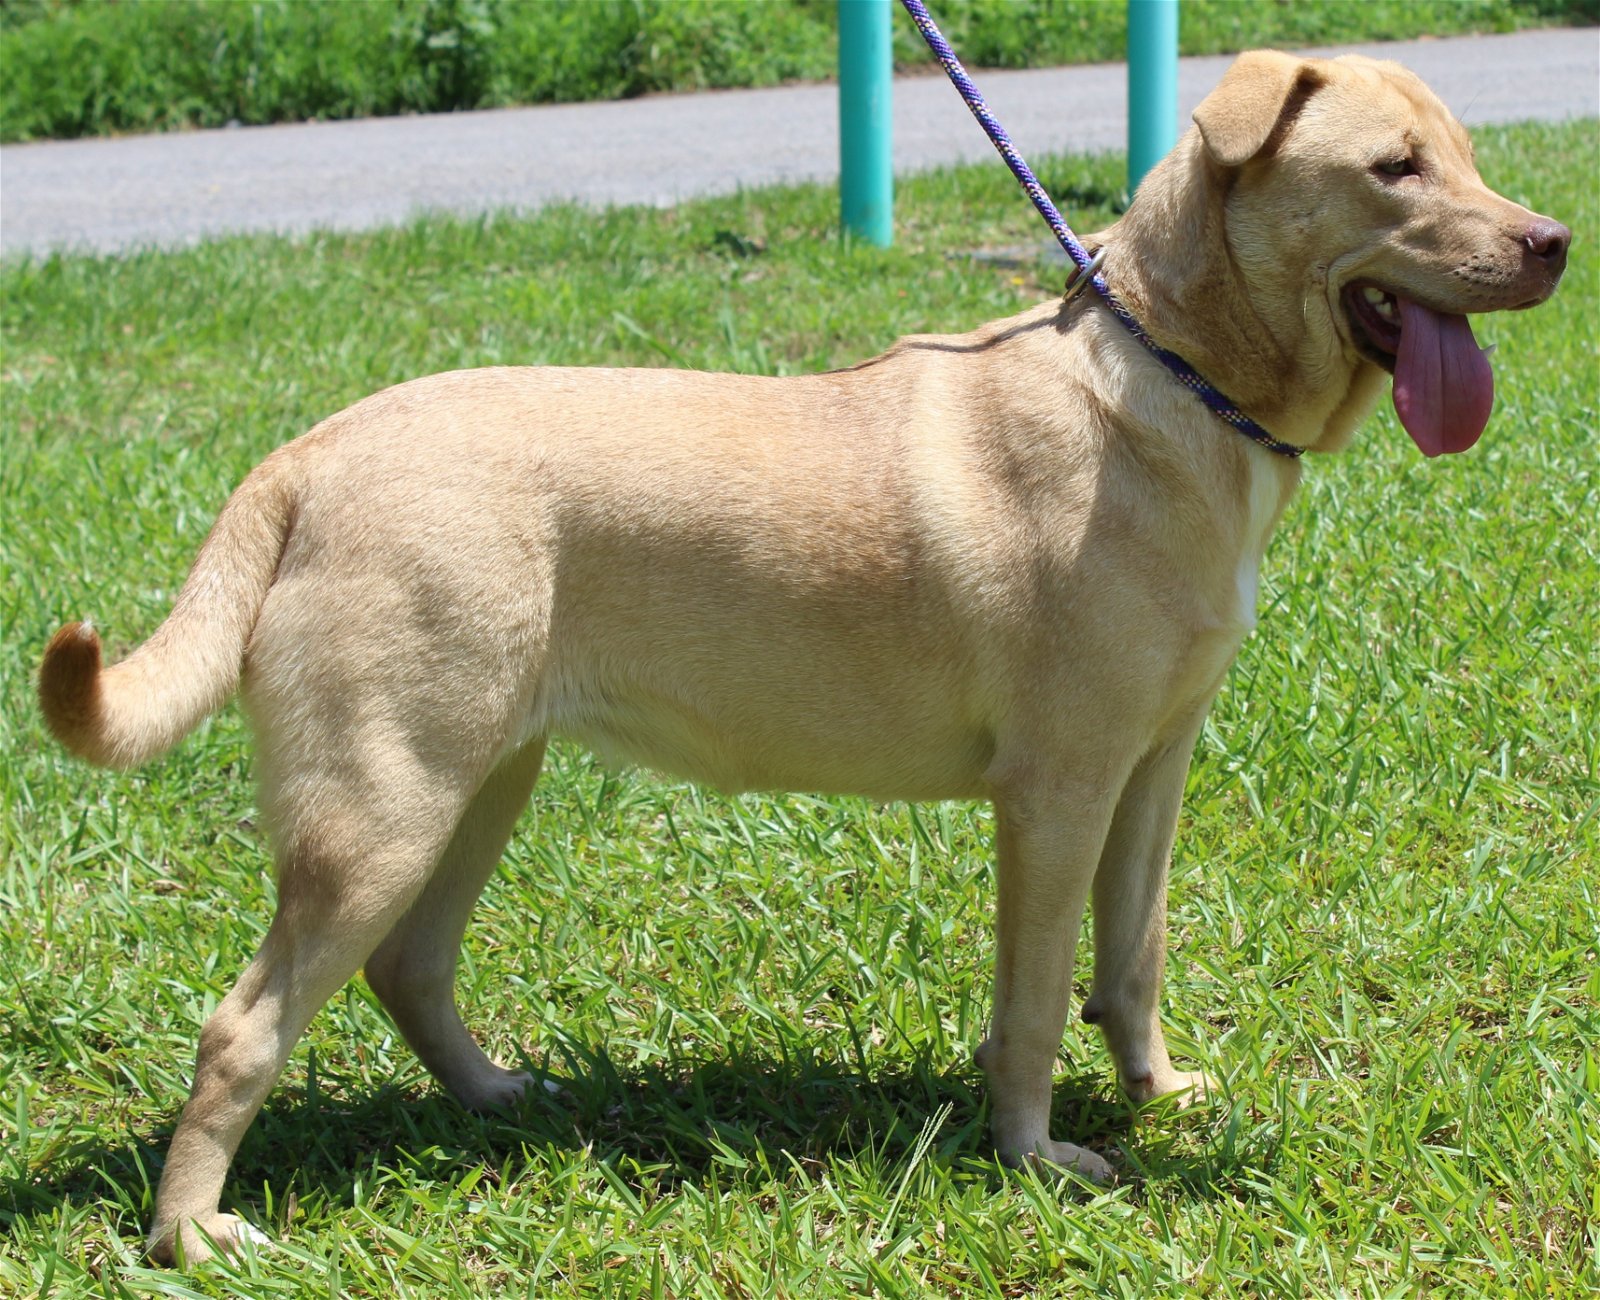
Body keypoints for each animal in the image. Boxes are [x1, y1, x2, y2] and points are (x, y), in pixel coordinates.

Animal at [39, 50, 1567, 1264]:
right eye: (1393, 169)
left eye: (1472, 154)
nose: (1553, 240)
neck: (1179, 378)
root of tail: (304, 455)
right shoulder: (1057, 787)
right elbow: (1031, 999)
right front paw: (1035, 1159)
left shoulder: (1156, 763)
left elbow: (1130, 957)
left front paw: (1161, 1095)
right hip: (382, 805)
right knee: (242, 1027)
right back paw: (189, 1231)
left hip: (476, 778)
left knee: (408, 968)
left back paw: (505, 1103)